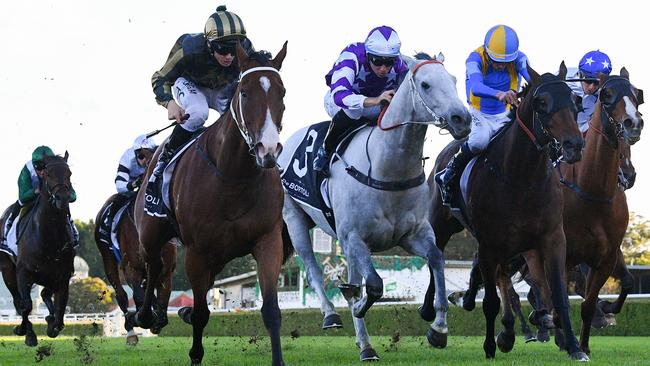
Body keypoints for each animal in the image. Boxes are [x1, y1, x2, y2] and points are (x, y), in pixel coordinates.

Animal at [93, 189, 175, 344]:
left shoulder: (166, 272)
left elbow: (161, 314)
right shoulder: (131, 268)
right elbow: (138, 298)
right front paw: (138, 318)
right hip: (108, 259)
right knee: (122, 295)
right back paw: (131, 331)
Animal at [130, 43, 290, 366]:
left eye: (282, 93)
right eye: (245, 93)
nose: (267, 150)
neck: (234, 175)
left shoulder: (268, 241)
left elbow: (271, 311)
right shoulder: (196, 251)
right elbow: (203, 314)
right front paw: (195, 353)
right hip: (152, 233)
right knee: (154, 264)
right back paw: (146, 315)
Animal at [276, 53, 468, 362]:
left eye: (453, 80)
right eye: (425, 84)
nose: (462, 119)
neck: (385, 168)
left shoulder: (412, 235)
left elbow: (437, 260)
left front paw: (439, 328)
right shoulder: (355, 237)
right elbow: (375, 286)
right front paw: (356, 308)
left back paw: (363, 342)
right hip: (295, 218)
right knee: (312, 267)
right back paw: (333, 316)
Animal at [426, 63, 588, 360]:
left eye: (575, 101)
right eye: (541, 102)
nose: (574, 145)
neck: (522, 177)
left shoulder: (552, 238)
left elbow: (559, 296)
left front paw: (573, 347)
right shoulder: (490, 242)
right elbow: (490, 300)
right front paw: (490, 346)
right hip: (442, 225)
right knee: (436, 258)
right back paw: (433, 320)